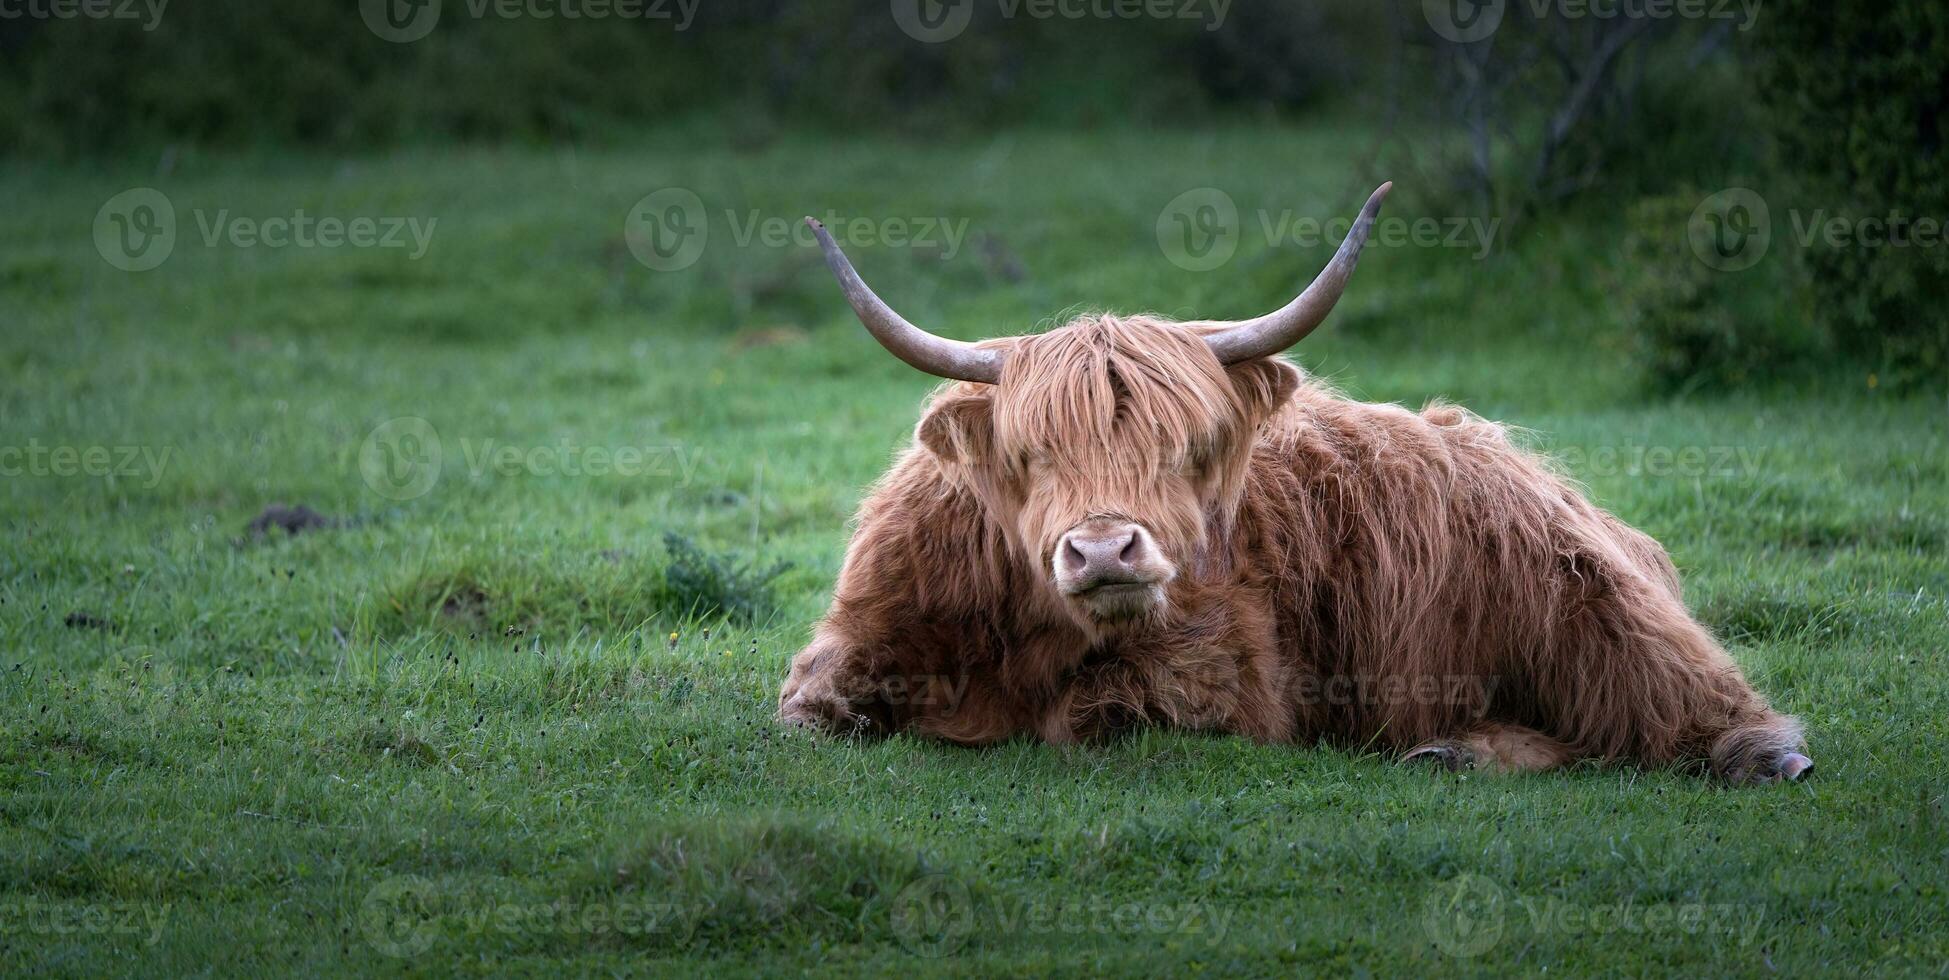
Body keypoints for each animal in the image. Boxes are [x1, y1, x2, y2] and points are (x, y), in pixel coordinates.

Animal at [775, 182, 1808, 783]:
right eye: (1033, 453)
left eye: (1186, 446)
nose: (1106, 549)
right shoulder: (853, 641)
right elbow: (811, 710)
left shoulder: (1225, 682)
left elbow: (1086, 714)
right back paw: (1451, 747)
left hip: (1583, 597)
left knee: (1666, 702)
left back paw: (1759, 754)